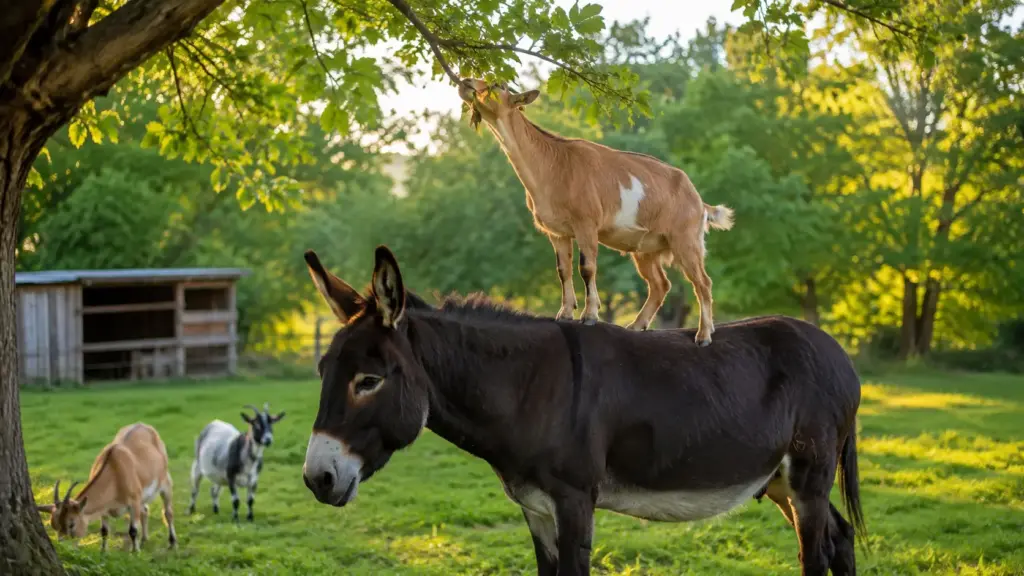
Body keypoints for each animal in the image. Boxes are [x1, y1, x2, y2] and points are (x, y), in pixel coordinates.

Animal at [37, 422, 176, 552]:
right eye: (54, 525)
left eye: (71, 524)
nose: (64, 548)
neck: (114, 471)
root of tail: (143, 425)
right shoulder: (104, 508)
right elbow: (104, 531)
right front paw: (103, 552)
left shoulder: (134, 501)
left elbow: (133, 530)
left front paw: (135, 552)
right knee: (146, 510)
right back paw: (144, 539)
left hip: (165, 481)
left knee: (167, 512)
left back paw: (172, 542)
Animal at [458, 78, 735, 346]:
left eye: (498, 85)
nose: (466, 81)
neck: (552, 165)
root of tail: (699, 202)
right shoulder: (557, 232)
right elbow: (563, 270)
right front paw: (565, 313)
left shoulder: (586, 223)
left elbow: (587, 267)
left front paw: (590, 315)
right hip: (647, 248)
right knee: (660, 285)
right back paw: (636, 326)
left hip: (686, 239)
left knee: (703, 283)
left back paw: (703, 335)